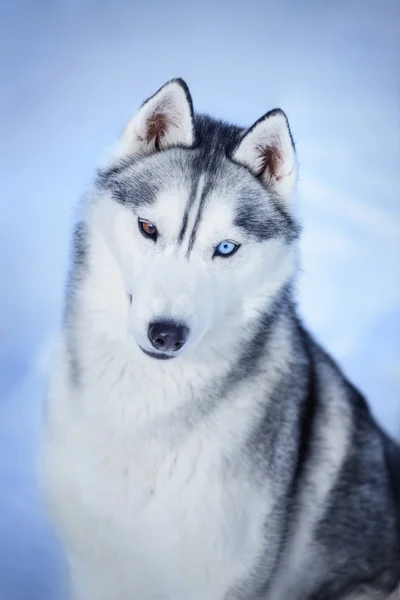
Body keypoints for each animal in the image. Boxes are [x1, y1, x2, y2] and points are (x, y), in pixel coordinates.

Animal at [40, 81, 400, 600]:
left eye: (225, 248)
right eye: (148, 228)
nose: (166, 333)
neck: (144, 412)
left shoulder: (226, 576)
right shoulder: (96, 565)